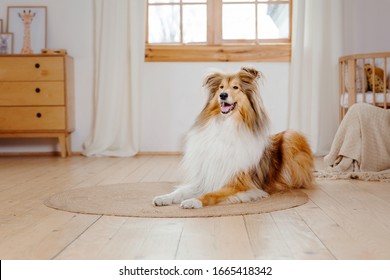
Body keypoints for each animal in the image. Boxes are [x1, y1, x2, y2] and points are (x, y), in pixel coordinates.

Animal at [152, 67, 314, 208]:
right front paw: (164, 198)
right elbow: (181, 191)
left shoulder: (238, 183)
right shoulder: (204, 178)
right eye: (221, 87)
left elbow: (212, 194)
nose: (223, 95)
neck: (226, 125)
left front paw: (193, 201)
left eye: (236, 87)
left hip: (291, 136)